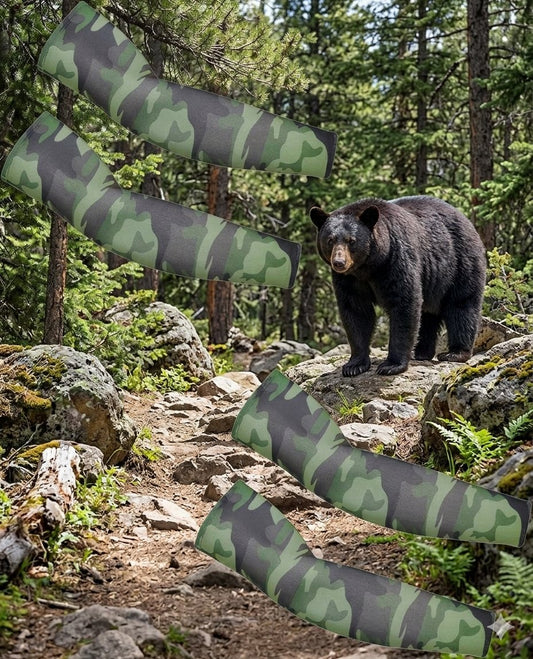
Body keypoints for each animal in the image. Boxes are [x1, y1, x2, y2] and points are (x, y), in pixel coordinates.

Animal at [310, 196, 486, 376]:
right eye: (330, 240)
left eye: (351, 241)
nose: (339, 262)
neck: (368, 267)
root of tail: (467, 221)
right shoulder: (348, 279)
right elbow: (356, 311)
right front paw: (354, 365)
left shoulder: (395, 259)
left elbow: (403, 303)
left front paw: (391, 365)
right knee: (428, 314)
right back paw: (421, 352)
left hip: (460, 262)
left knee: (462, 304)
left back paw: (455, 353)